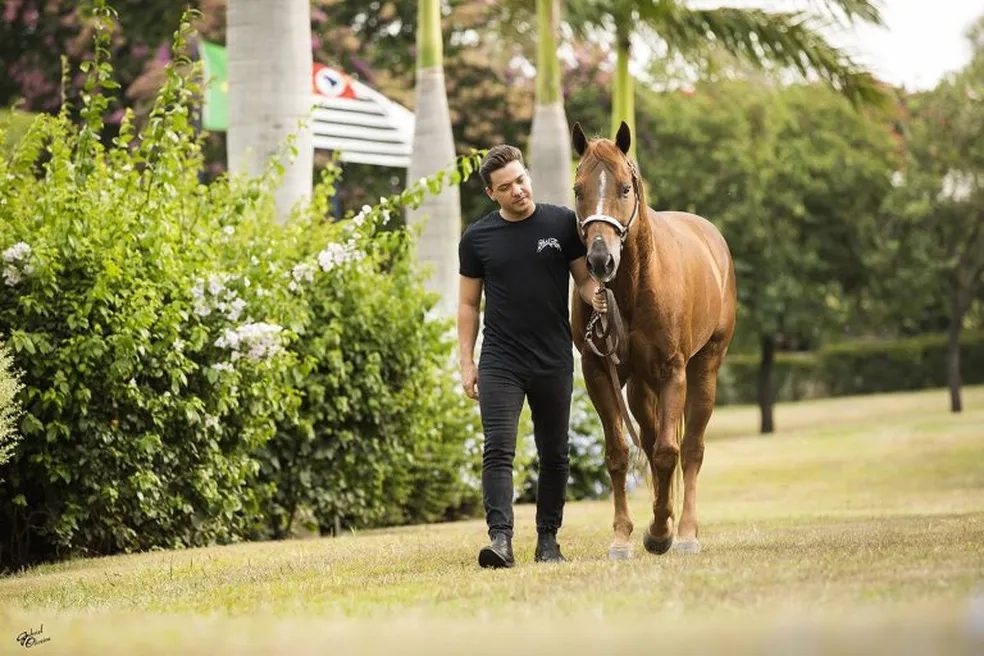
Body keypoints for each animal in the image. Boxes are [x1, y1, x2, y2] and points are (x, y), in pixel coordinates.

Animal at [568, 119, 736, 560]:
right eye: (578, 189)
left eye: (625, 187)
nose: (600, 260)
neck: (633, 286)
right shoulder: (598, 371)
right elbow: (619, 453)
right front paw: (625, 536)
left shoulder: (673, 371)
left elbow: (667, 453)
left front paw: (662, 532)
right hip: (640, 387)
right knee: (648, 437)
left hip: (703, 370)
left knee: (690, 449)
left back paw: (687, 531)